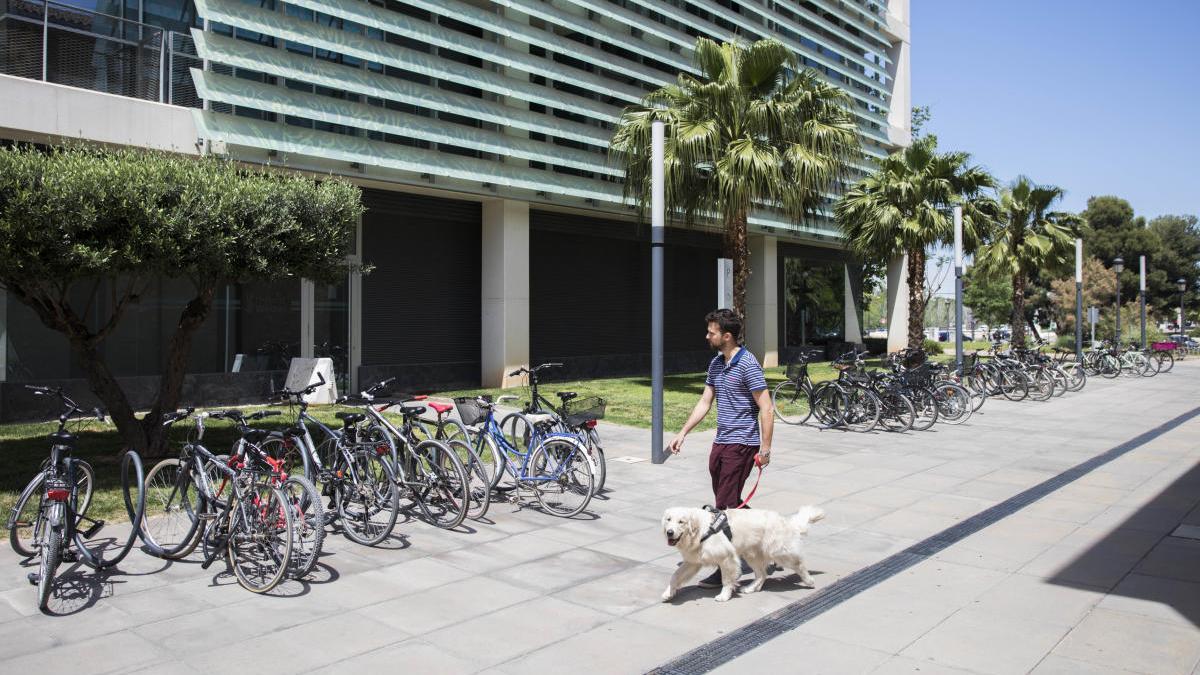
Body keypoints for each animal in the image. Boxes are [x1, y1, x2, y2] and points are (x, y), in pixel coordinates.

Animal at [657, 504, 825, 598]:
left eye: (681, 522)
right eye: (668, 520)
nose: (670, 532)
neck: (701, 531)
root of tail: (786, 521)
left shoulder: (727, 557)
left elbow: (727, 580)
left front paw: (724, 596)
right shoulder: (693, 561)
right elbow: (675, 576)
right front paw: (668, 593)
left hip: (778, 551)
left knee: (799, 564)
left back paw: (809, 581)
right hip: (751, 554)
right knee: (761, 574)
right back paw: (751, 588)